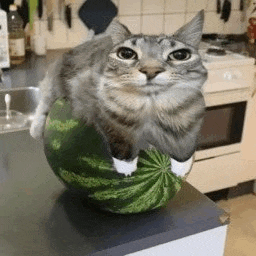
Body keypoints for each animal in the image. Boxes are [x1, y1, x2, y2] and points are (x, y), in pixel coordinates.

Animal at [30, 11, 207, 177]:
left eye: (179, 55)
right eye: (127, 54)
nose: (150, 70)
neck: (151, 107)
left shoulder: (193, 116)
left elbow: (185, 146)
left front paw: (181, 168)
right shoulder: (101, 109)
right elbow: (120, 139)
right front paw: (126, 168)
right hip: (56, 81)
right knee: (44, 101)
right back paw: (36, 129)